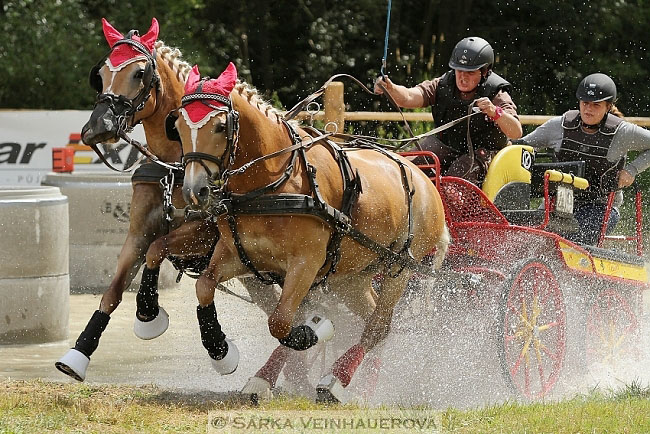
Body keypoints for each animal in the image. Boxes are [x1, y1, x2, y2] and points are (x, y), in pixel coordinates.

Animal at [173, 62, 450, 402]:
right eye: (177, 125)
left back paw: (336, 380)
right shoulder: (237, 254)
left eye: (220, 127)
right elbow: (204, 286)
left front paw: (315, 330)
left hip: (400, 267)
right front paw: (221, 352)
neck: (274, 181)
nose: (193, 190)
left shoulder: (306, 262)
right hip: (351, 275)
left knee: (377, 325)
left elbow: (281, 321)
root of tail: (425, 182)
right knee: (374, 321)